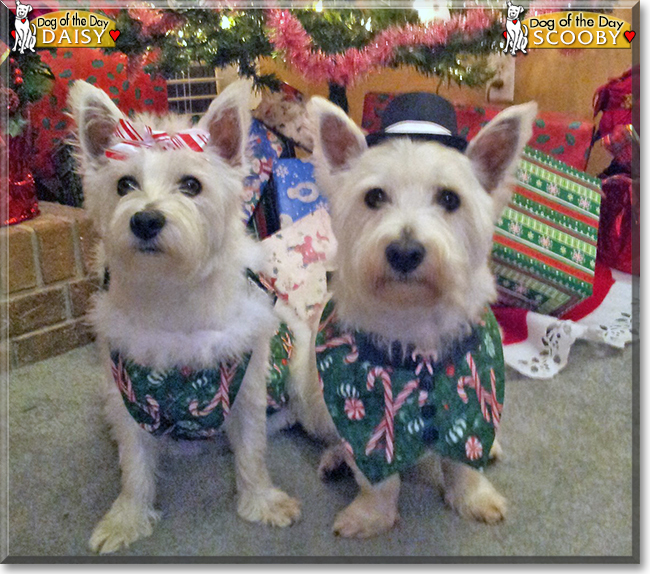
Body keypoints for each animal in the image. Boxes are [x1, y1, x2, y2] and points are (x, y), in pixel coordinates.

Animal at [69, 80, 302, 552]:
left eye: (191, 184)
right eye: (125, 184)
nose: (145, 220)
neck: (171, 290)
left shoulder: (246, 388)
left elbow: (252, 453)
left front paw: (261, 501)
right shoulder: (127, 398)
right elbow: (134, 467)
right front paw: (127, 519)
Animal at [298, 95, 532, 540]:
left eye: (449, 199)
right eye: (374, 197)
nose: (404, 252)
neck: (414, 318)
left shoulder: (471, 397)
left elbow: (464, 462)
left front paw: (474, 499)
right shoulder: (365, 409)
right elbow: (376, 475)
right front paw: (370, 516)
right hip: (307, 392)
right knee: (329, 434)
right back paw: (335, 457)